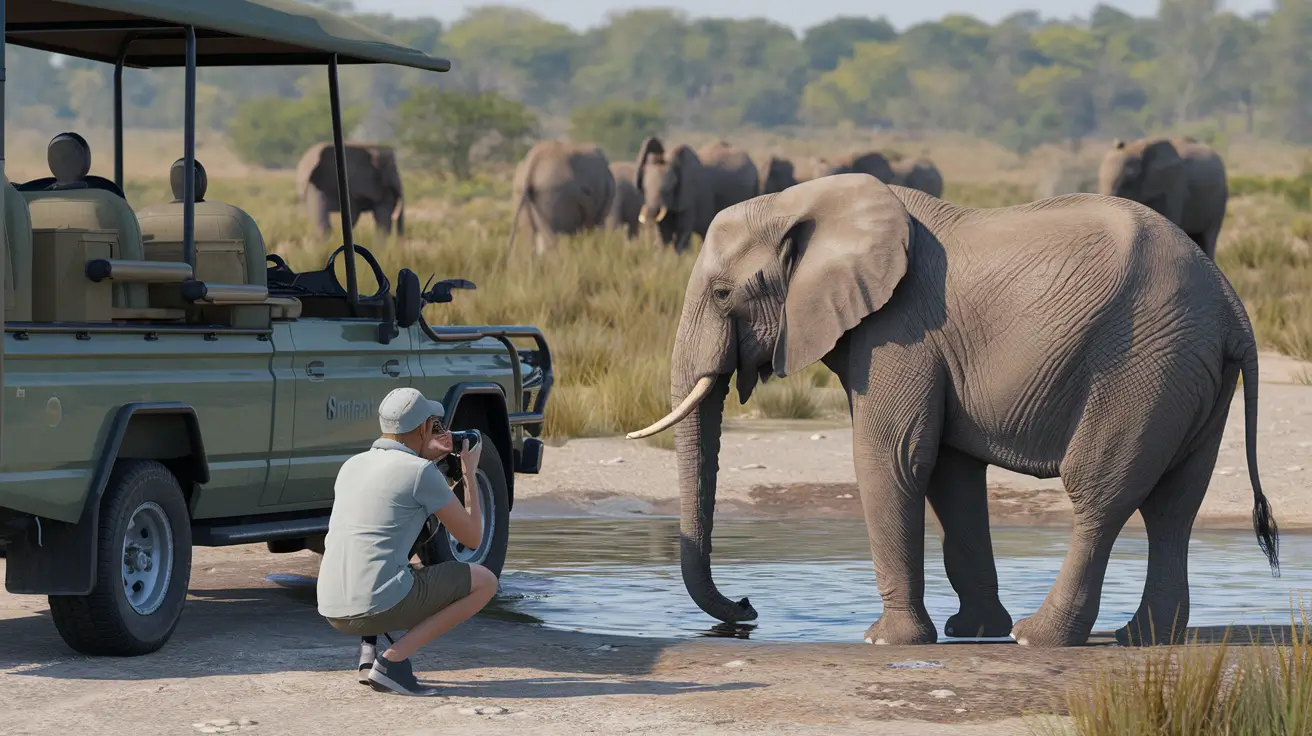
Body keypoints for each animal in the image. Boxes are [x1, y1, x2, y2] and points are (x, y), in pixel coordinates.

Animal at [627, 174, 1280, 645]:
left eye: (722, 293)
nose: (746, 607)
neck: (803, 202)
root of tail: (1233, 308)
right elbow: (950, 471)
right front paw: (971, 633)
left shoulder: (901, 328)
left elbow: (891, 457)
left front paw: (886, 642)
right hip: (1191, 376)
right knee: (1173, 506)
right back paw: (1140, 638)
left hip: (1143, 367)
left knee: (1101, 494)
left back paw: (1039, 638)